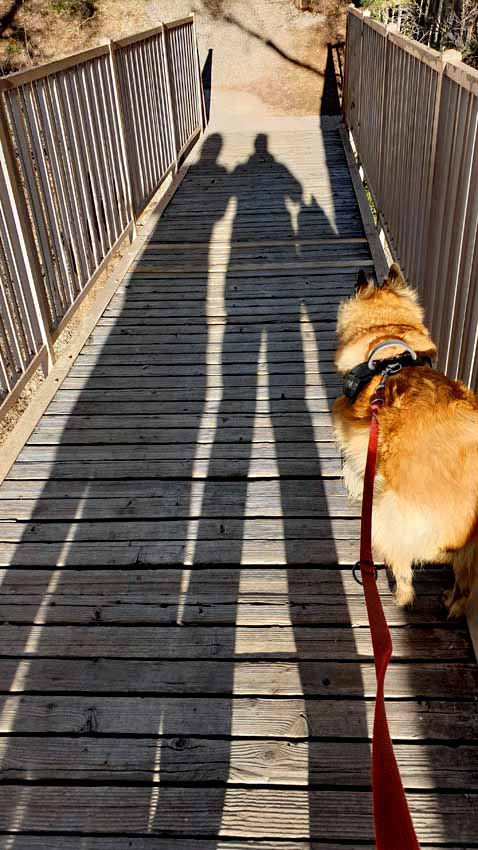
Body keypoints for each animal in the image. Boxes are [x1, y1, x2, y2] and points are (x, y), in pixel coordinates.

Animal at [333, 263, 478, 615]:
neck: (389, 346)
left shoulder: (357, 442)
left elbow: (355, 470)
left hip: (387, 518)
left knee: (404, 572)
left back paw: (399, 596)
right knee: (464, 588)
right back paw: (450, 604)